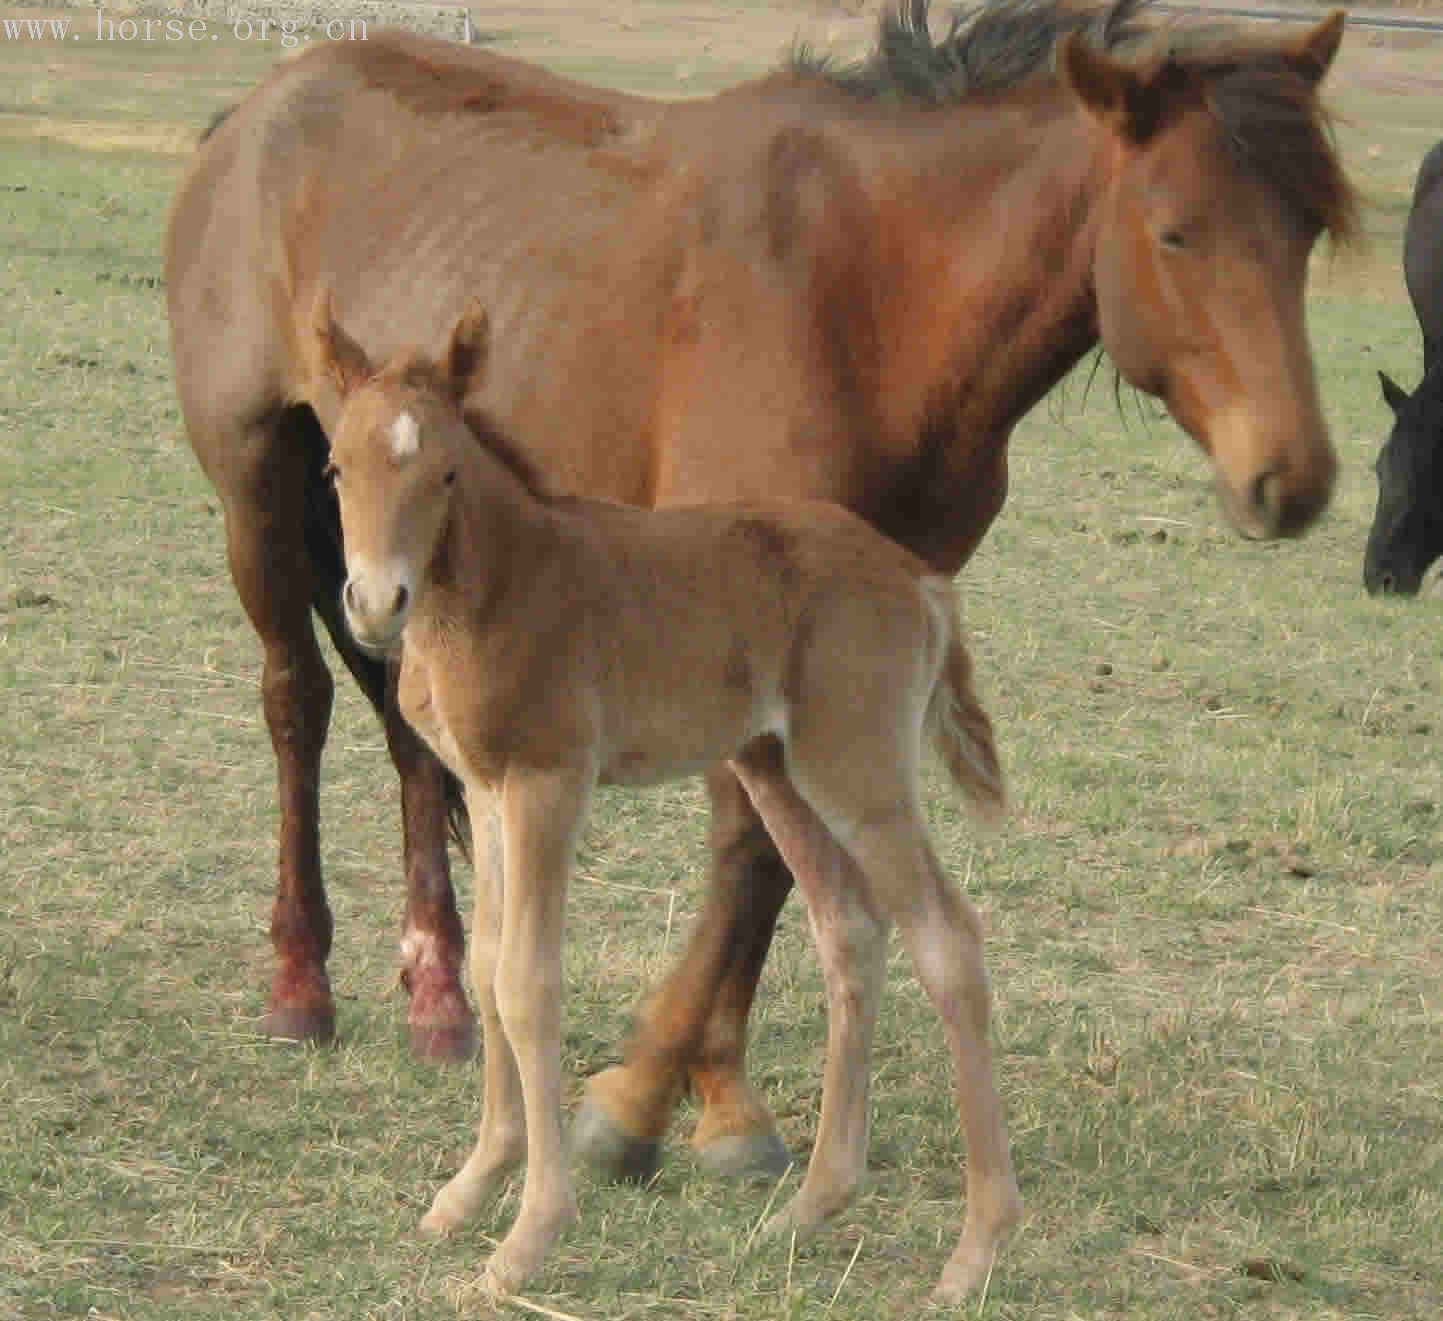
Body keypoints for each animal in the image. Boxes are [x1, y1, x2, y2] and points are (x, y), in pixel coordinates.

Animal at [316, 294, 1015, 1299]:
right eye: (336, 466)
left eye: (446, 471)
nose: (376, 604)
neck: (500, 584)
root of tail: (919, 580)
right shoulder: (486, 790)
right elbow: (486, 967)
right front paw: (470, 1188)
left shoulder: (549, 783)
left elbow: (529, 980)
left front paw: (528, 1235)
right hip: (776, 767)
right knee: (848, 929)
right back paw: (808, 1207)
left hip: (859, 769)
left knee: (947, 939)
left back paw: (975, 1251)